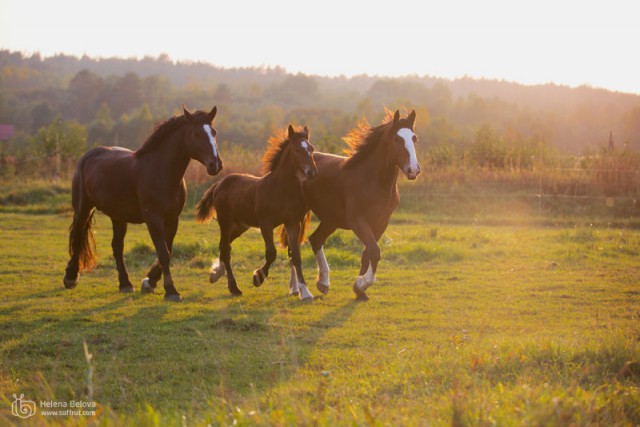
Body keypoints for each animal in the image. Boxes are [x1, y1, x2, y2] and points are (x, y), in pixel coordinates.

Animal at [62, 105, 222, 302]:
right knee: (77, 235)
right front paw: (171, 291)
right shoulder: (153, 218)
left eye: (213, 132)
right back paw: (71, 277)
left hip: (118, 217)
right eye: (196, 134)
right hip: (83, 208)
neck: (161, 172)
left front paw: (150, 281)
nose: (216, 164)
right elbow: (163, 253)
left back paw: (125, 284)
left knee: (117, 246)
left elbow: (167, 250)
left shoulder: (172, 219)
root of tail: (88, 156)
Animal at [194, 125, 316, 300]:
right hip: (225, 222)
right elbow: (271, 253)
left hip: (240, 226)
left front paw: (305, 292)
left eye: (311, 149)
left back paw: (216, 274)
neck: (281, 189)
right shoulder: (266, 224)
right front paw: (257, 277)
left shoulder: (292, 223)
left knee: (225, 246)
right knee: (225, 249)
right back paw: (234, 288)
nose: (312, 172)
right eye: (296, 150)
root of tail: (219, 184)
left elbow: (296, 255)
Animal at [284, 108, 420, 300]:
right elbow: (375, 252)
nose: (413, 170)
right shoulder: (358, 221)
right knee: (293, 248)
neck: (373, 181)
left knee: (315, 240)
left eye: (414, 138)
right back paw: (298, 289)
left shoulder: (380, 223)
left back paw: (322, 283)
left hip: (330, 219)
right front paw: (362, 284)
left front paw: (360, 290)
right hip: (296, 216)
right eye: (396, 139)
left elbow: (367, 253)